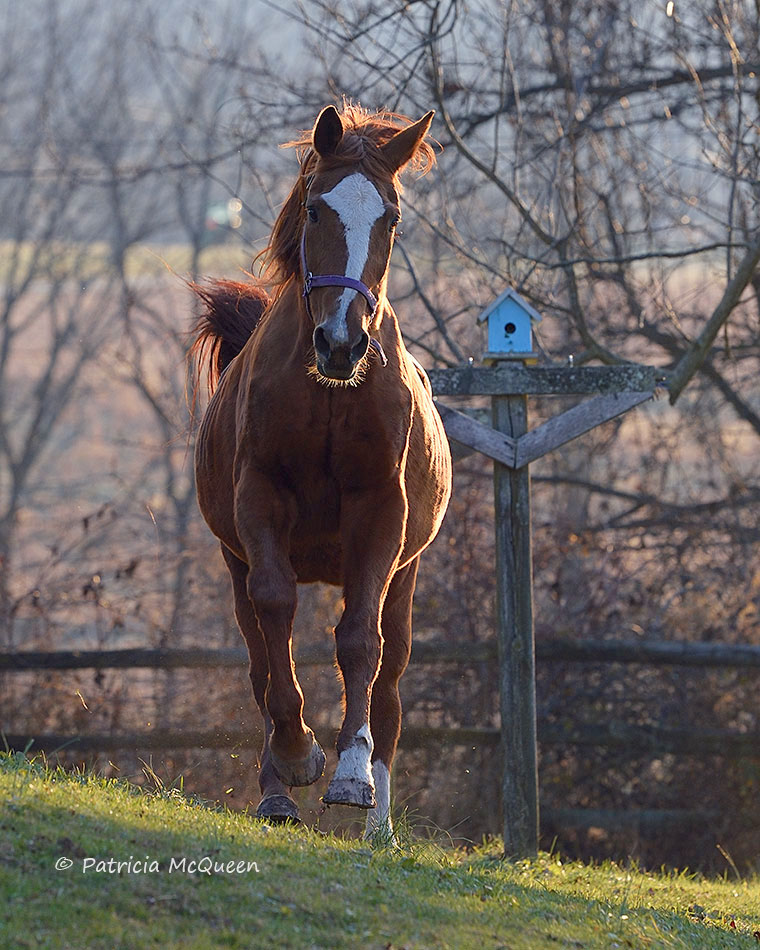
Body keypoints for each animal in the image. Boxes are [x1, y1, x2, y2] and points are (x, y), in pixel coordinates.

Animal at [191, 100, 452, 836]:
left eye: (391, 217)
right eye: (315, 209)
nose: (341, 340)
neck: (331, 391)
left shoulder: (380, 514)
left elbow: (360, 642)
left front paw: (352, 775)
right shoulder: (260, 504)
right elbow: (276, 617)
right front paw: (297, 754)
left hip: (405, 575)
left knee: (389, 685)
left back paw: (379, 826)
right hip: (237, 560)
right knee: (260, 658)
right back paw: (277, 789)